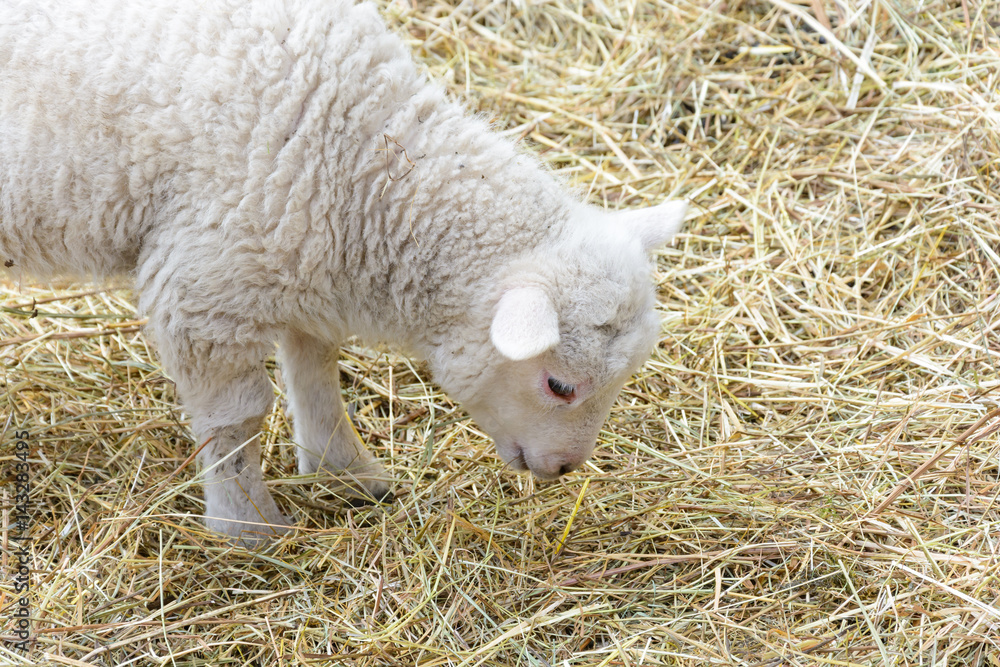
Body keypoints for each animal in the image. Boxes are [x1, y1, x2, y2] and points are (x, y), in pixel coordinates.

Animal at [0, 0, 687, 545]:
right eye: (559, 385)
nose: (566, 468)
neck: (361, 151)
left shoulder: (299, 257)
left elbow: (316, 365)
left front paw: (343, 469)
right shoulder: (203, 291)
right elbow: (236, 419)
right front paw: (248, 528)